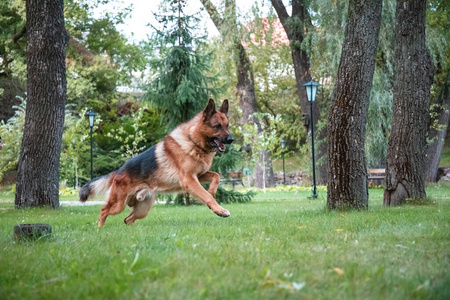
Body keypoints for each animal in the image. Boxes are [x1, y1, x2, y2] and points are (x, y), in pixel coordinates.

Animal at [79, 99, 234, 226]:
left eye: (227, 126)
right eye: (217, 126)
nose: (231, 139)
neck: (193, 141)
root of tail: (118, 171)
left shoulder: (199, 176)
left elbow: (216, 176)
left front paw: (212, 191)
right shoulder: (189, 180)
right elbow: (206, 195)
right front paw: (220, 210)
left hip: (142, 210)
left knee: (127, 219)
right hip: (118, 205)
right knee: (104, 211)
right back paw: (100, 229)